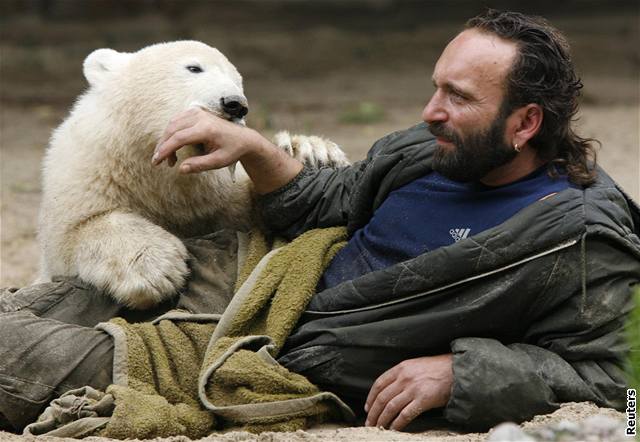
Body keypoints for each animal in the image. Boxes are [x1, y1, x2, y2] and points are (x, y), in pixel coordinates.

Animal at [37, 41, 348, 310]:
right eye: (194, 68)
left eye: (237, 82)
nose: (234, 104)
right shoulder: (90, 171)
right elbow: (78, 229)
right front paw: (155, 268)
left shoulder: (216, 192)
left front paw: (313, 153)